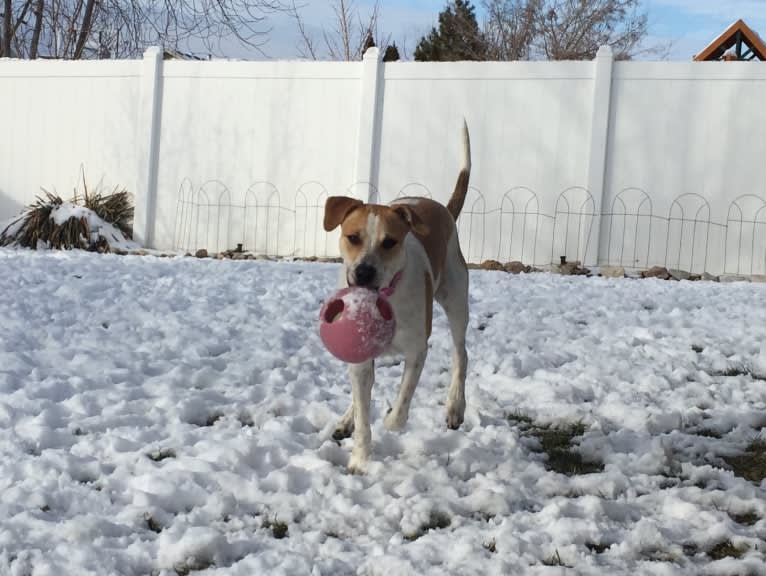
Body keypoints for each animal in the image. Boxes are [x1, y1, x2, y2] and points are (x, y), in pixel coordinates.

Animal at [320, 120, 472, 472]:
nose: (363, 272)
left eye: (389, 242)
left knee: (461, 353)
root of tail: (443, 209)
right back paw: (346, 419)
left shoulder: (417, 348)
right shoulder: (360, 357)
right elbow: (363, 408)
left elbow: (403, 401)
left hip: (456, 297)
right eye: (352, 237)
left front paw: (391, 418)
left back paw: (454, 406)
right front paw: (360, 458)